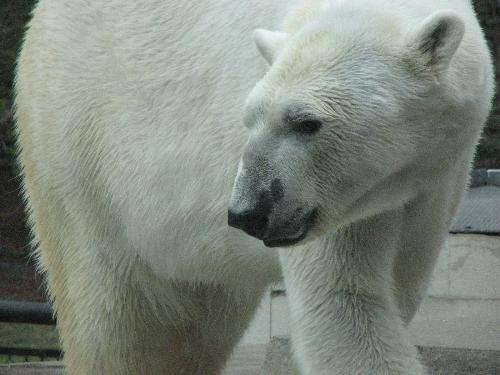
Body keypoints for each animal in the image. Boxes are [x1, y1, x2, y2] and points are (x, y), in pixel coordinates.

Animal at [14, 0, 492, 374]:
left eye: (307, 122)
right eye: (250, 118)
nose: (247, 212)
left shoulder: (434, 180)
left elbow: (398, 286)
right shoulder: (335, 205)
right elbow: (346, 304)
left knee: (200, 322)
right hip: (79, 152)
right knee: (113, 322)